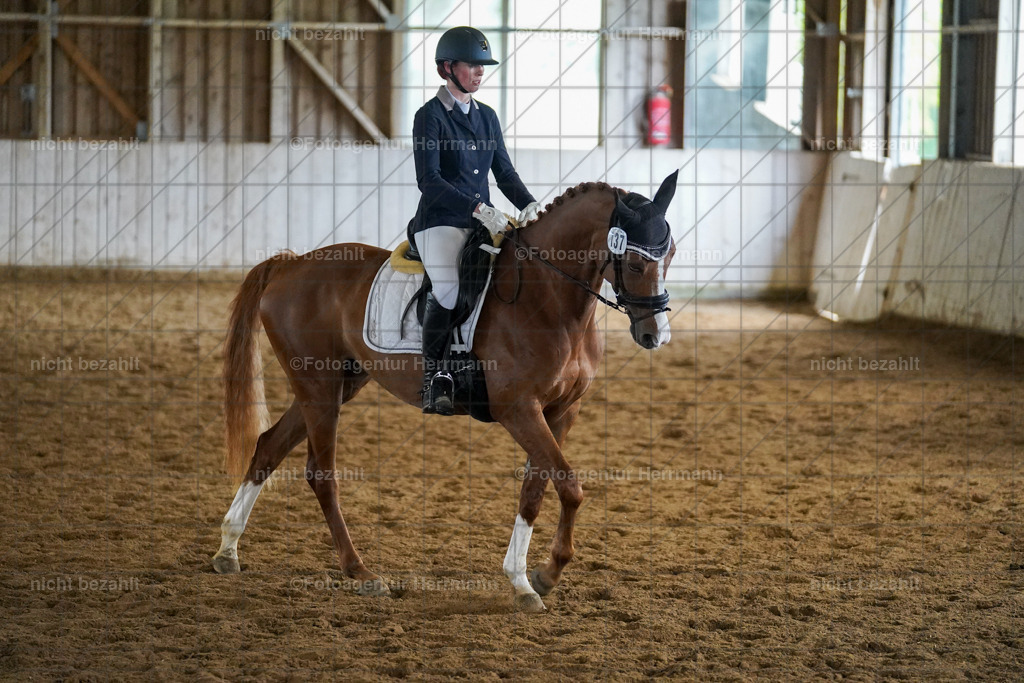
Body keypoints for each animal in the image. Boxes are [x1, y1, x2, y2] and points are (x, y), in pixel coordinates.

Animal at [212, 171, 679, 612]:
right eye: (634, 264)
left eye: (671, 254)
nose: (655, 335)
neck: (548, 300)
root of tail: (291, 265)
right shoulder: (519, 410)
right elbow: (570, 487)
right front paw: (545, 575)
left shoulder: (561, 411)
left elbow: (536, 489)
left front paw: (523, 581)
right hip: (319, 387)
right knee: (320, 474)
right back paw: (361, 573)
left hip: (334, 385)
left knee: (269, 447)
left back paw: (228, 550)